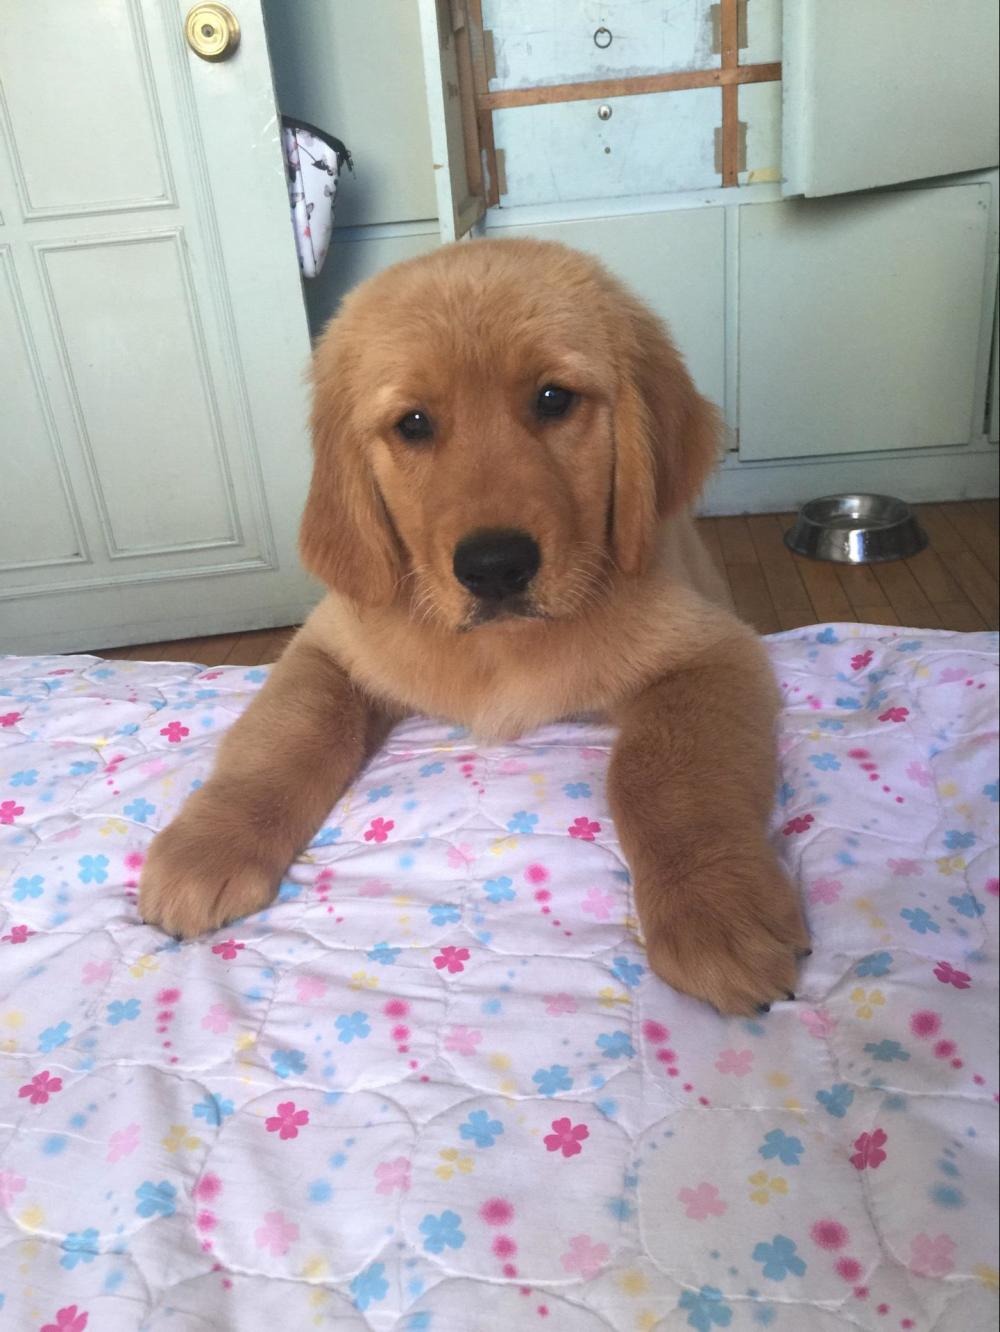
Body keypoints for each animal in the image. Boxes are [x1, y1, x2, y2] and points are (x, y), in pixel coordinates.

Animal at [139, 238, 809, 1015]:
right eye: (413, 424)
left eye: (553, 399)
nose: (495, 567)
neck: (497, 650)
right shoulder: (329, 645)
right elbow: (288, 731)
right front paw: (205, 850)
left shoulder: (712, 650)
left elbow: (666, 773)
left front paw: (715, 910)